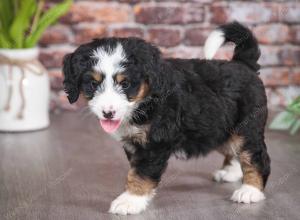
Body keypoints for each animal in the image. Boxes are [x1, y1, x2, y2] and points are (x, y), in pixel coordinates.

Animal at [62, 21, 270, 215]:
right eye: (92, 84)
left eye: (125, 84)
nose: (108, 112)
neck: (145, 100)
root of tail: (243, 64)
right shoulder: (134, 143)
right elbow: (137, 169)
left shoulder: (154, 143)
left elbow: (140, 173)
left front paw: (130, 201)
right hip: (219, 128)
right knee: (233, 148)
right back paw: (231, 172)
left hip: (247, 127)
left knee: (255, 157)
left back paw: (250, 190)